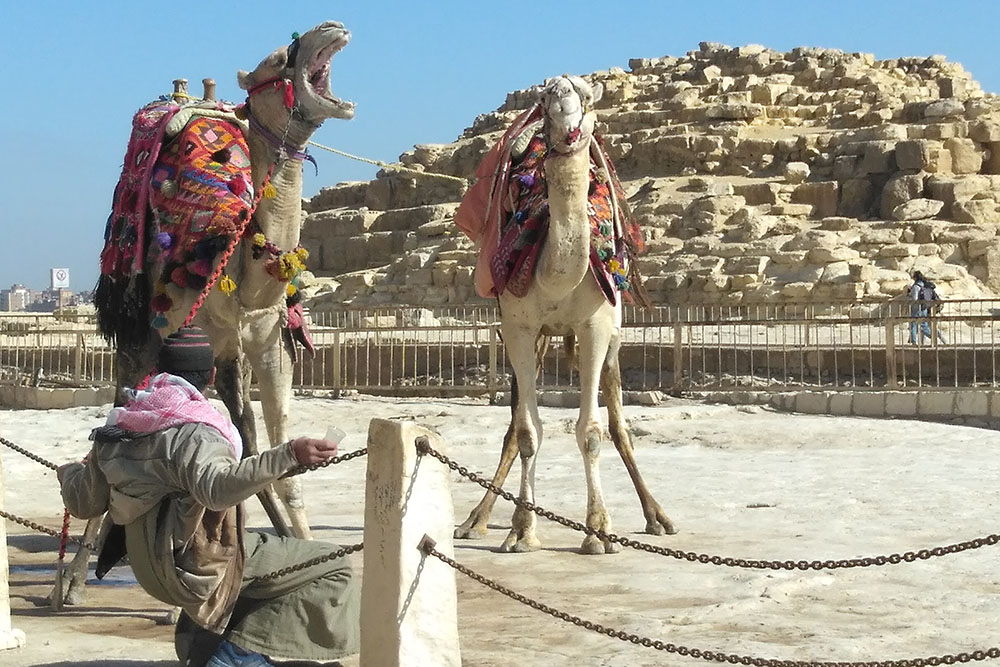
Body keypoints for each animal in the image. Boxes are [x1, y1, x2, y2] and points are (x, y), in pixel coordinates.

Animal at [57, 20, 356, 604]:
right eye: (278, 57)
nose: (329, 27)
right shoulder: (201, 336)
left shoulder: (267, 342)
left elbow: (272, 449)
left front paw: (304, 542)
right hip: (143, 334)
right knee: (120, 408)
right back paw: (75, 577)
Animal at [456, 74, 680, 552]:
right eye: (544, 98)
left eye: (588, 95)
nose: (566, 109)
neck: (555, 272)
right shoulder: (519, 327)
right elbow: (526, 433)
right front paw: (523, 530)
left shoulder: (595, 325)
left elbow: (592, 432)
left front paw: (598, 531)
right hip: (537, 337)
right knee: (514, 426)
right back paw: (477, 520)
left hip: (612, 338)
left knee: (618, 425)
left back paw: (657, 517)